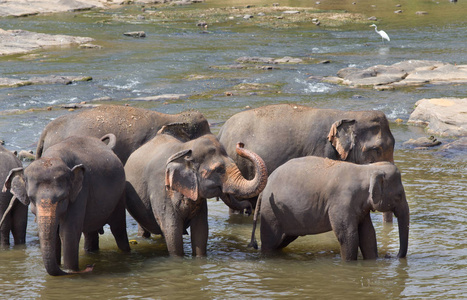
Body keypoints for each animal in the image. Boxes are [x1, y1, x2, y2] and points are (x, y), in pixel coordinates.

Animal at [4, 135, 131, 276]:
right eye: (31, 199)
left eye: (62, 198)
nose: (89, 266)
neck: (53, 157)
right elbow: (56, 234)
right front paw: (61, 267)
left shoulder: (80, 192)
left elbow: (69, 231)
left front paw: (70, 269)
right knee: (90, 232)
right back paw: (90, 252)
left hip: (120, 196)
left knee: (118, 229)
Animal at [126, 123, 268, 256]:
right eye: (219, 169)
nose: (249, 209)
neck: (184, 150)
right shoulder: (161, 191)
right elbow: (172, 231)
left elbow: (201, 230)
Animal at [249, 156, 410, 262]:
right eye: (399, 195)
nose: (389, 255)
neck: (366, 169)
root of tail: (264, 189)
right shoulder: (341, 202)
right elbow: (347, 235)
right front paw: (349, 264)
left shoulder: (361, 207)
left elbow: (368, 234)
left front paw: (372, 261)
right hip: (271, 211)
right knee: (270, 241)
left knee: (282, 240)